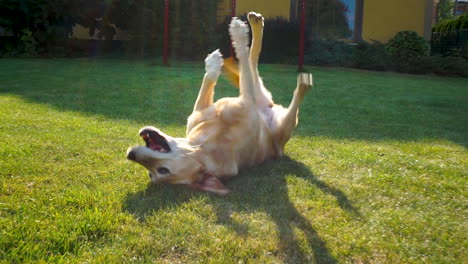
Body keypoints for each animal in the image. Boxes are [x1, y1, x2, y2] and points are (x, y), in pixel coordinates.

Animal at [126, 12, 312, 194]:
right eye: (157, 172)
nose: (130, 155)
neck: (205, 144)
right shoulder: (246, 100)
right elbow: (241, 58)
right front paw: (238, 33)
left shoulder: (199, 112)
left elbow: (209, 80)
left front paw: (214, 62)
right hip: (283, 123)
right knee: (252, 67)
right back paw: (303, 83)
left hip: (262, 99)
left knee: (251, 62)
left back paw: (255, 23)